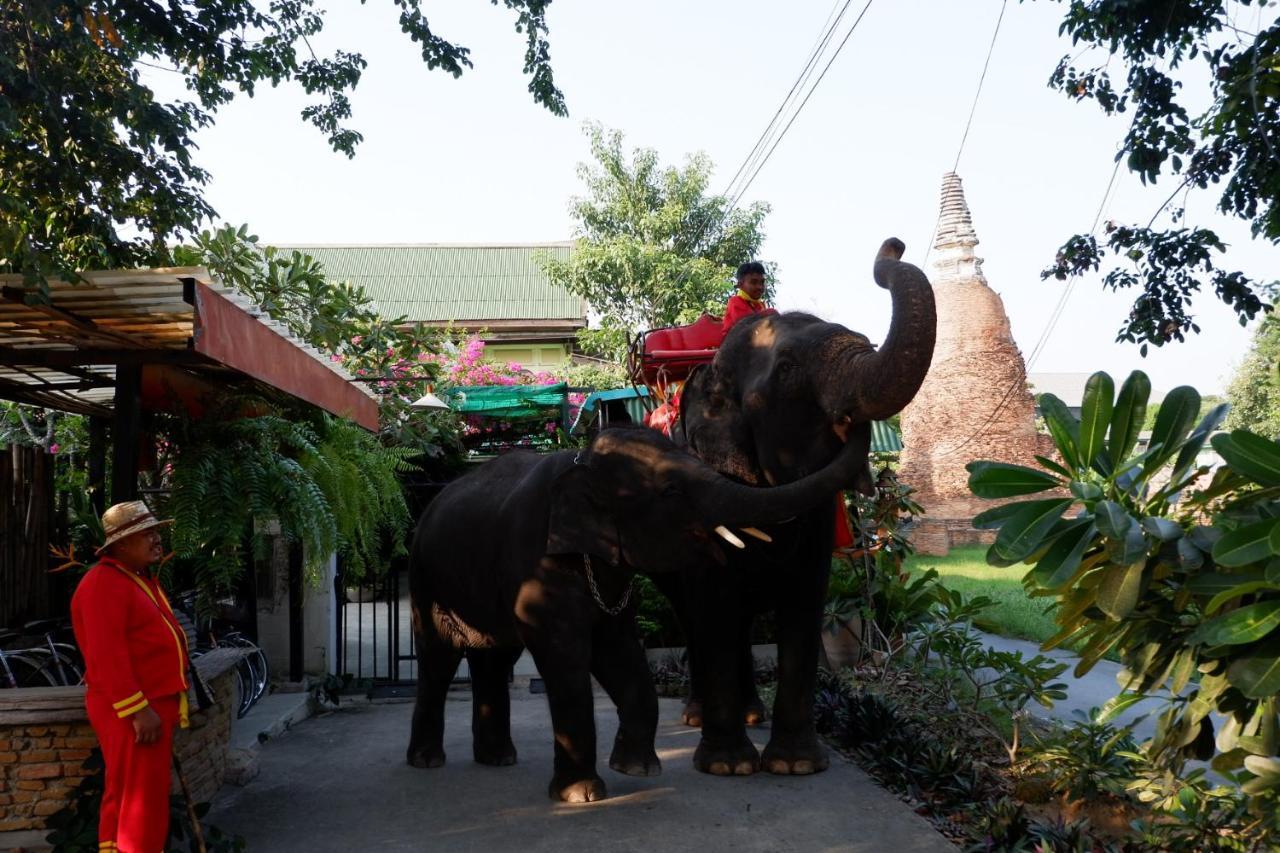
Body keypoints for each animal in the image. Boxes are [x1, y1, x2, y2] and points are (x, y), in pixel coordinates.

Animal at [407, 427, 870, 799]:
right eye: (670, 491)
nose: (850, 423)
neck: (581, 463)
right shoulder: (535, 564)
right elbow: (566, 658)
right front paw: (581, 794)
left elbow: (622, 653)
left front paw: (636, 769)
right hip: (425, 579)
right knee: (438, 658)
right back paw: (427, 761)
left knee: (494, 657)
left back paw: (498, 758)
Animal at [665, 235, 936, 773]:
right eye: (787, 370)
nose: (894, 244)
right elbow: (712, 605)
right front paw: (727, 766)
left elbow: (805, 604)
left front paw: (794, 766)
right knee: (693, 617)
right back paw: (696, 716)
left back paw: (752, 713)